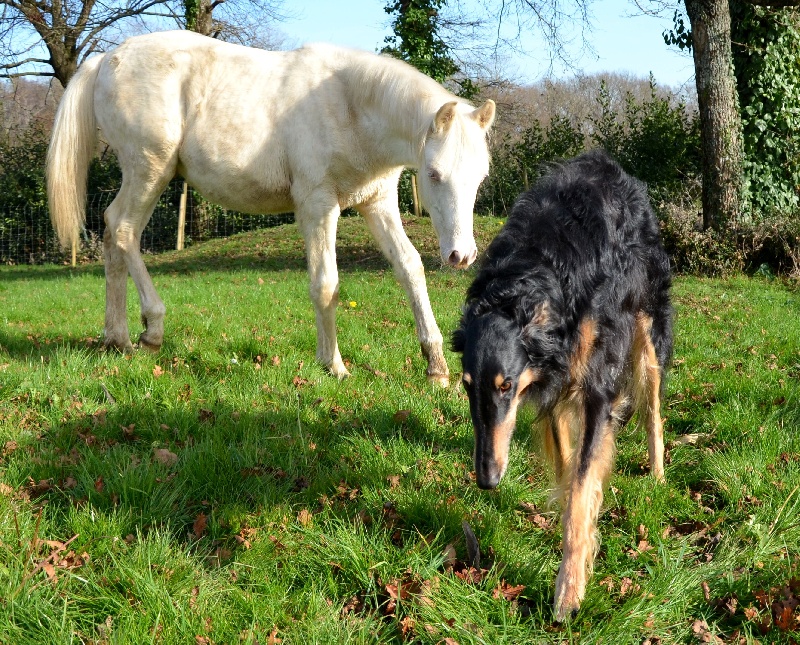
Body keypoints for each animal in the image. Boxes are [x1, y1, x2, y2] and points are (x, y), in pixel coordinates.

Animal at [48, 31, 494, 382]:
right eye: (433, 173)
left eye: (481, 176)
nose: (461, 255)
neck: (350, 105)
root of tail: (107, 59)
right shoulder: (318, 206)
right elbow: (326, 284)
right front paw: (333, 365)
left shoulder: (377, 204)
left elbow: (409, 268)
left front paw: (436, 366)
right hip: (149, 170)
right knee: (123, 229)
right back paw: (151, 330)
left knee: (112, 236)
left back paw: (117, 338)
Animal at [454, 150, 672, 620]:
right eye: (465, 386)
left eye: (506, 386)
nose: (487, 481)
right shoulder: (554, 382)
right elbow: (571, 472)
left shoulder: (595, 388)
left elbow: (582, 488)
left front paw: (569, 590)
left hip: (647, 333)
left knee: (653, 410)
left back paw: (659, 474)